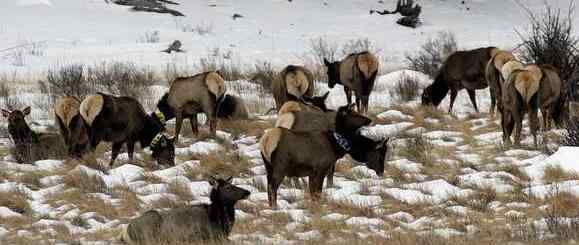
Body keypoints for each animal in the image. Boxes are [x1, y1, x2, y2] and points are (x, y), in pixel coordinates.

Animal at [262, 104, 390, 208]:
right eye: (380, 154)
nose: (381, 172)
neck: (336, 146)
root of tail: (265, 141)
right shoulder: (322, 168)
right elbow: (319, 191)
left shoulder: (312, 172)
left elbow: (313, 192)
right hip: (280, 168)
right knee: (272, 187)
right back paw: (275, 207)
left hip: (268, 167)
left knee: (268, 186)